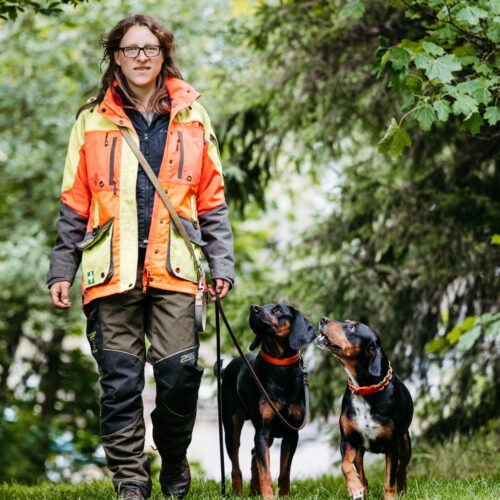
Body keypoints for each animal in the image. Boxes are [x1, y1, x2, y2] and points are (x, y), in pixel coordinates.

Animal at [222, 302, 316, 498]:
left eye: (279, 310)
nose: (253, 308)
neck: (280, 368)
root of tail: (225, 368)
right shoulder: (263, 431)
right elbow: (266, 471)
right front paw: (268, 496)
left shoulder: (291, 434)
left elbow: (284, 472)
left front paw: (285, 496)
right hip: (232, 426)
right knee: (236, 464)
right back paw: (238, 492)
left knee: (253, 454)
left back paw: (254, 489)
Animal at [318, 318, 412, 500]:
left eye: (352, 327)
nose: (324, 319)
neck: (365, 389)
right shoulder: (348, 440)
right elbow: (345, 466)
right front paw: (355, 488)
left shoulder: (392, 446)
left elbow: (390, 479)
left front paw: (391, 496)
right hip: (359, 450)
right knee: (361, 473)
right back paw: (361, 489)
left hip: (405, 443)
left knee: (402, 470)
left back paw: (402, 491)